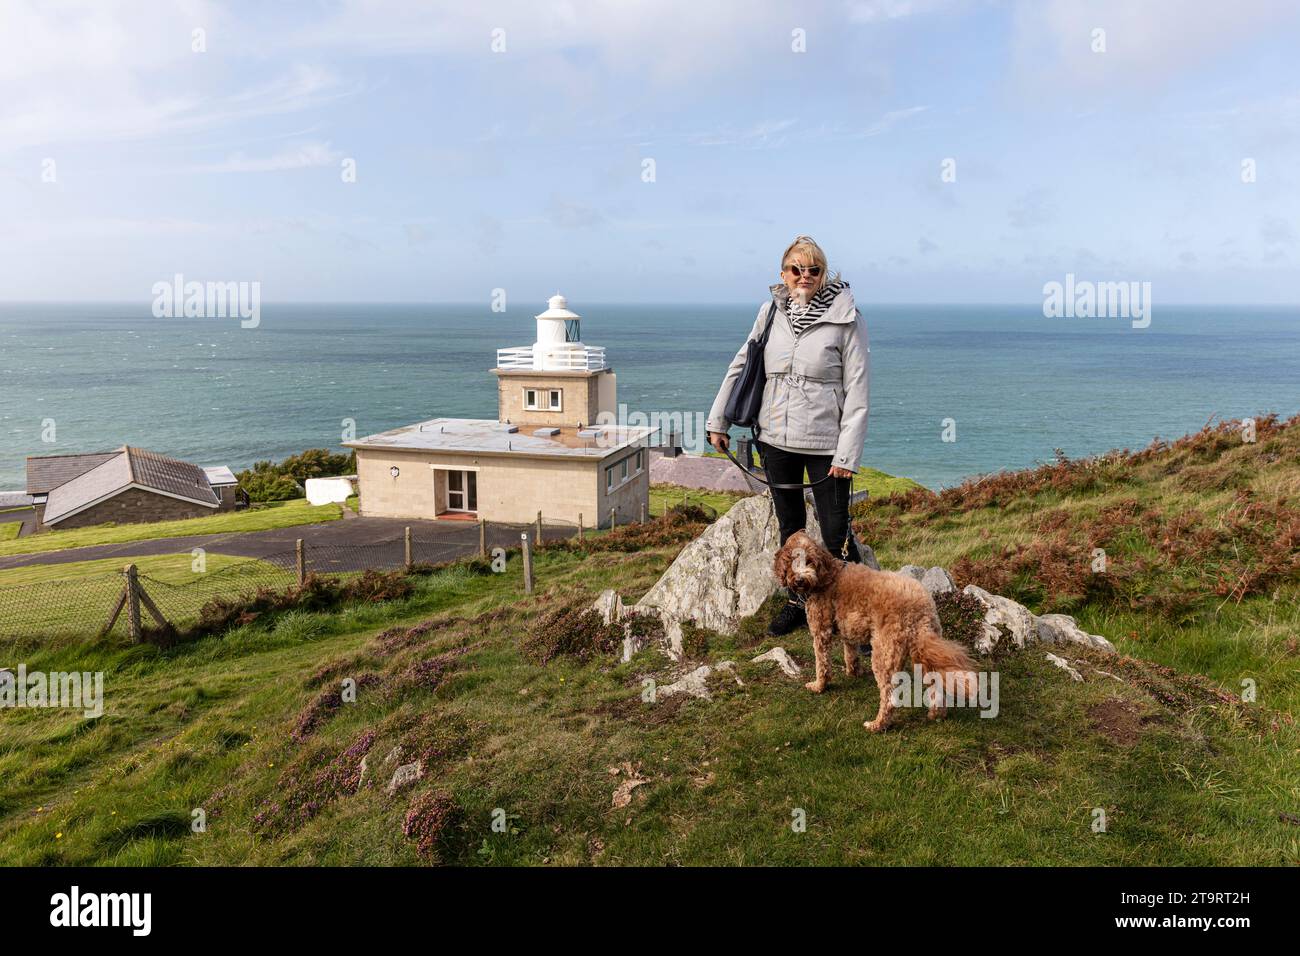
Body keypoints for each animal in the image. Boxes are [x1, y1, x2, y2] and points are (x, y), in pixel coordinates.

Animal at [769, 530, 977, 733]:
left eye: (810, 561)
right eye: (791, 561)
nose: (800, 580)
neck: (826, 576)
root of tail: (918, 608)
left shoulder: (821, 631)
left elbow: (822, 665)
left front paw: (819, 686)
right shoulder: (848, 628)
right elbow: (850, 653)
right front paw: (853, 672)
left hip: (885, 652)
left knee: (889, 695)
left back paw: (878, 724)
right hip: (925, 647)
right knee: (935, 682)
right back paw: (937, 714)